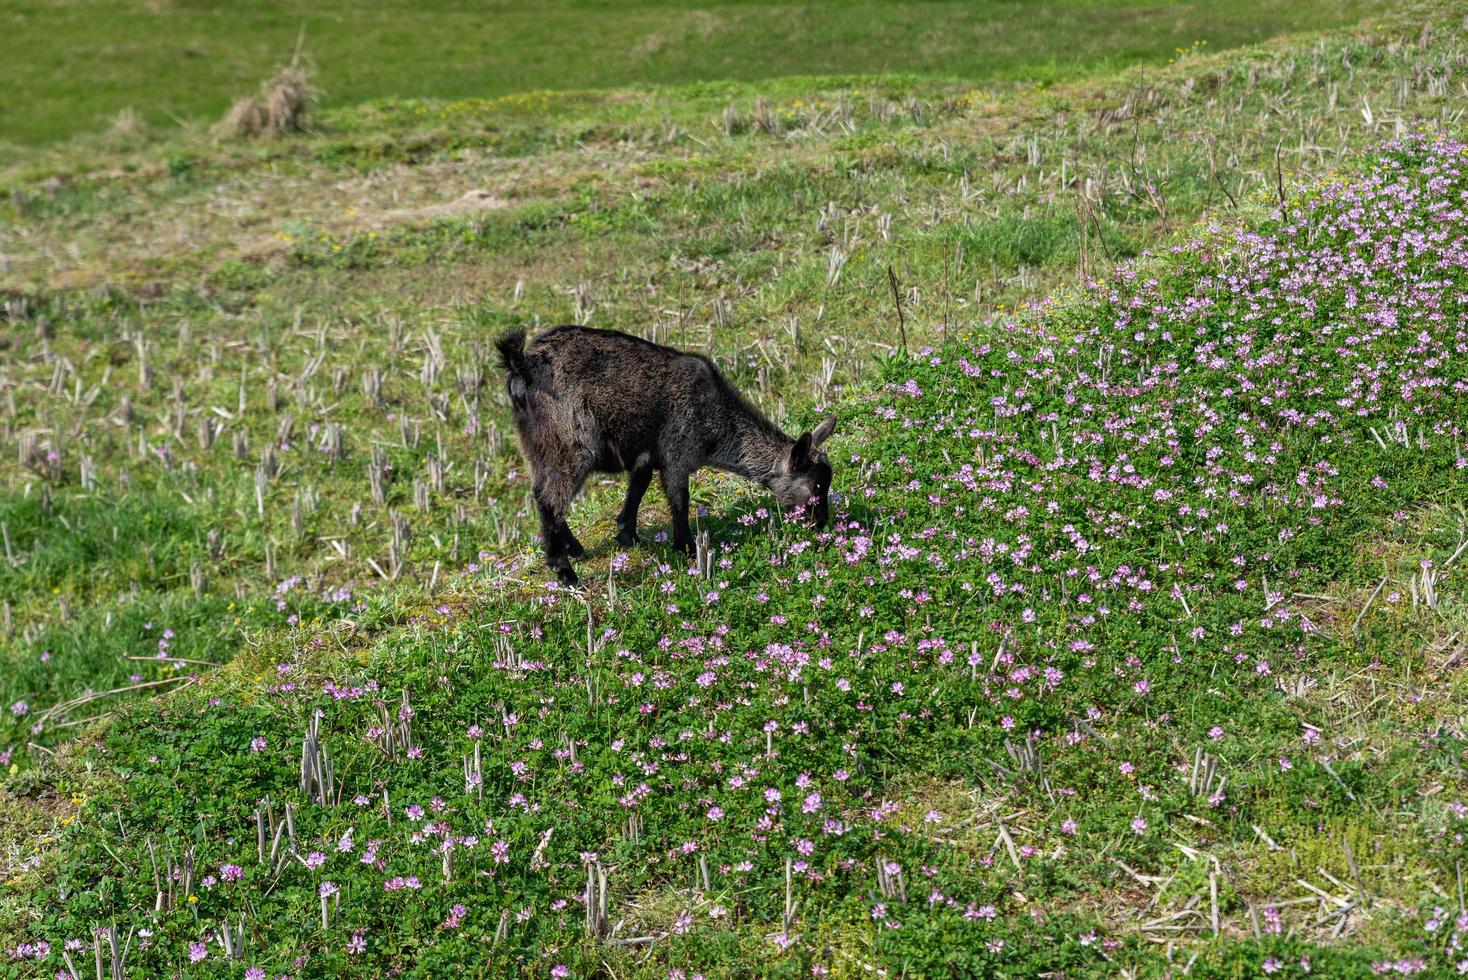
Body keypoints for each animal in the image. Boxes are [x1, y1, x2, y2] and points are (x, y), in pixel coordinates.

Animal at [496, 325, 833, 586]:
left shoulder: (647, 456)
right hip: (570, 444)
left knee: (541, 492)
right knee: (550, 500)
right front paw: (686, 548)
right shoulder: (677, 453)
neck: (719, 419)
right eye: (814, 488)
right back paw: (566, 572)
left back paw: (575, 548)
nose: (821, 526)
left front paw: (627, 536)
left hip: (537, 447)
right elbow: (679, 500)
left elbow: (637, 490)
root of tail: (523, 364)